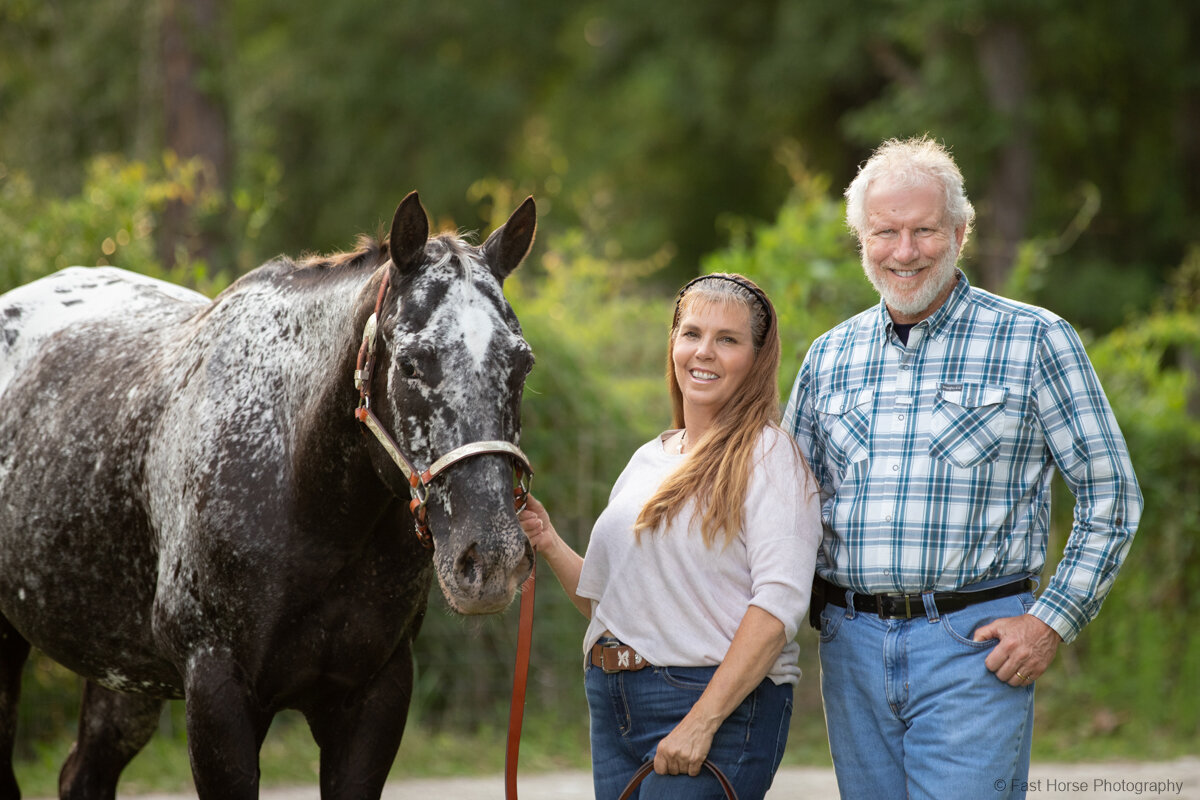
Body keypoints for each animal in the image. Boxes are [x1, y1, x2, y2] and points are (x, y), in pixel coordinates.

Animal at [0, 190, 540, 796]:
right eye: (410, 363)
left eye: (522, 363)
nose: (491, 560)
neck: (307, 508)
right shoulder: (217, 695)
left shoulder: (374, 698)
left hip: (122, 677)